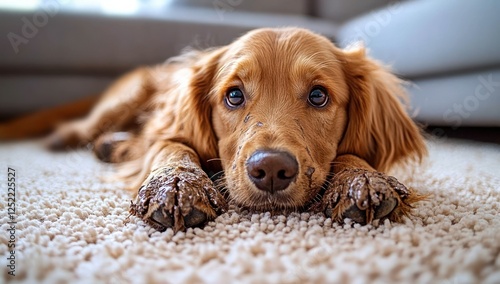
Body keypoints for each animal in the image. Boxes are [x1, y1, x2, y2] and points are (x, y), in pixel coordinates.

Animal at [43, 27, 428, 231]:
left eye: (319, 95)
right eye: (234, 95)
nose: (271, 169)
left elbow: (352, 154)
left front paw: (362, 179)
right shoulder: (163, 133)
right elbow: (174, 147)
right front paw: (179, 184)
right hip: (126, 97)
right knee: (88, 127)